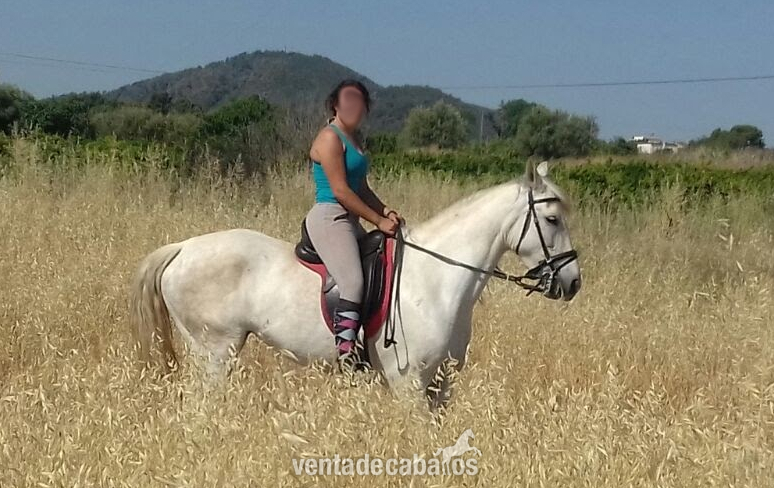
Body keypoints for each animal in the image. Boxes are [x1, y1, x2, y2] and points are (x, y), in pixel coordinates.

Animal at [129, 161, 581, 404]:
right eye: (552, 219)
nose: (572, 282)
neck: (436, 281)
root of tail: (182, 248)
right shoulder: (408, 384)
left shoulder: (440, 384)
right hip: (214, 351)